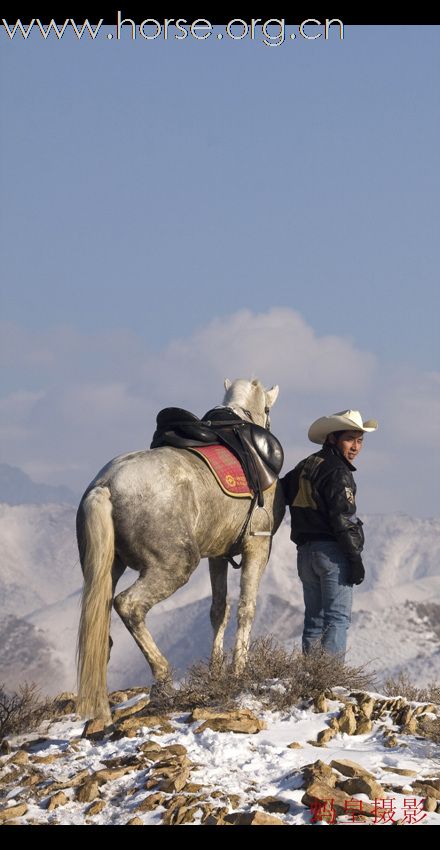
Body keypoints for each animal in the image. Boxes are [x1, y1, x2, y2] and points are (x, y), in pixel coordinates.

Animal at [75, 380, 286, 720]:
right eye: (267, 409)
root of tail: (105, 486)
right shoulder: (257, 544)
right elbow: (246, 608)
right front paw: (239, 671)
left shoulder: (218, 555)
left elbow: (219, 609)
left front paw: (215, 672)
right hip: (174, 565)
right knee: (128, 605)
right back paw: (162, 678)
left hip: (105, 569)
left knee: (100, 625)